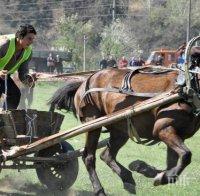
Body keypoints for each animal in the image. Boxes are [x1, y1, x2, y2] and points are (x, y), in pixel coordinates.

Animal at [49, 53, 200, 194]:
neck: (187, 88)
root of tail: (84, 82)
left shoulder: (177, 134)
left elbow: (173, 163)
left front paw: (145, 169)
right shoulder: (163, 129)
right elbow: (186, 155)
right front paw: (154, 173)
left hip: (121, 129)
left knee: (107, 155)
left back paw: (128, 178)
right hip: (92, 123)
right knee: (89, 157)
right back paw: (99, 189)